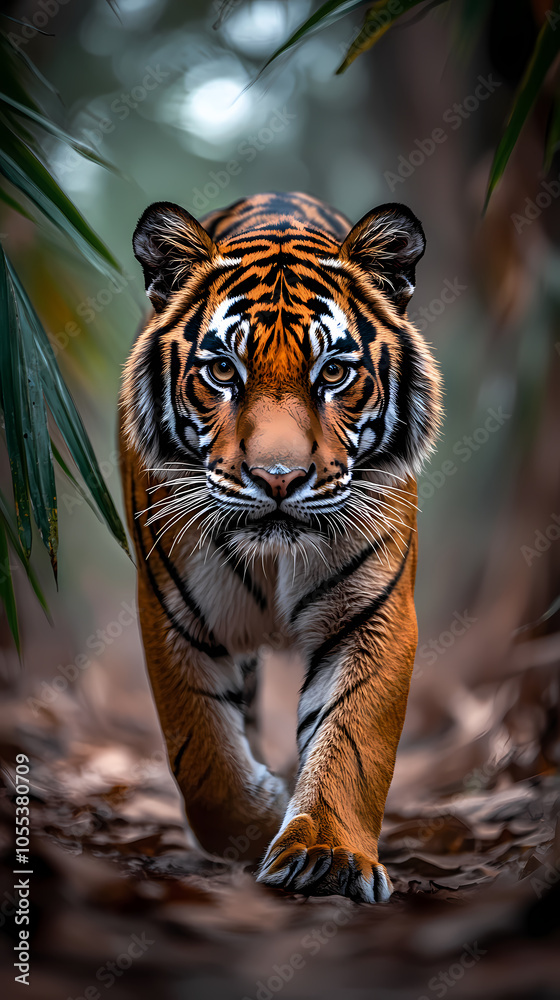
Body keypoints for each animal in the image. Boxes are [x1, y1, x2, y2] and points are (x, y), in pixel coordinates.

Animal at [119, 191, 442, 903]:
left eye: (334, 373)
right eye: (222, 370)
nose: (277, 477)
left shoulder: (372, 615)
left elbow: (352, 741)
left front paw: (326, 856)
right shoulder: (175, 614)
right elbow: (203, 752)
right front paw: (260, 818)